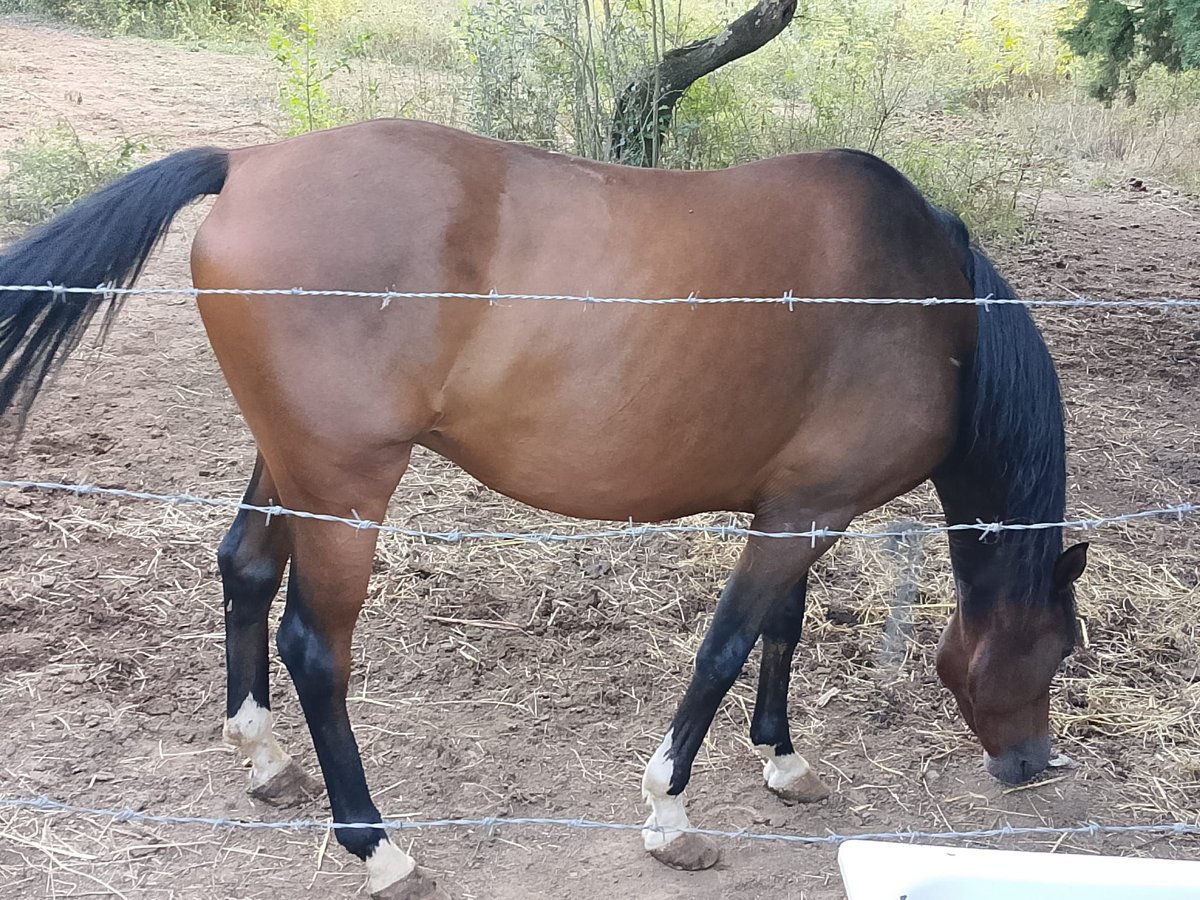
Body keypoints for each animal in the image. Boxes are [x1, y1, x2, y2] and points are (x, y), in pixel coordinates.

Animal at [0, 121, 1089, 900]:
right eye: (1059, 647)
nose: (1034, 765)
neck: (928, 307)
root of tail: (251, 163)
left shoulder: (795, 507)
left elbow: (781, 630)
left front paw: (782, 760)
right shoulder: (805, 515)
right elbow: (725, 649)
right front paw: (669, 816)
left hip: (293, 465)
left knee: (245, 571)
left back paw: (266, 762)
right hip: (347, 488)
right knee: (315, 645)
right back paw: (380, 850)